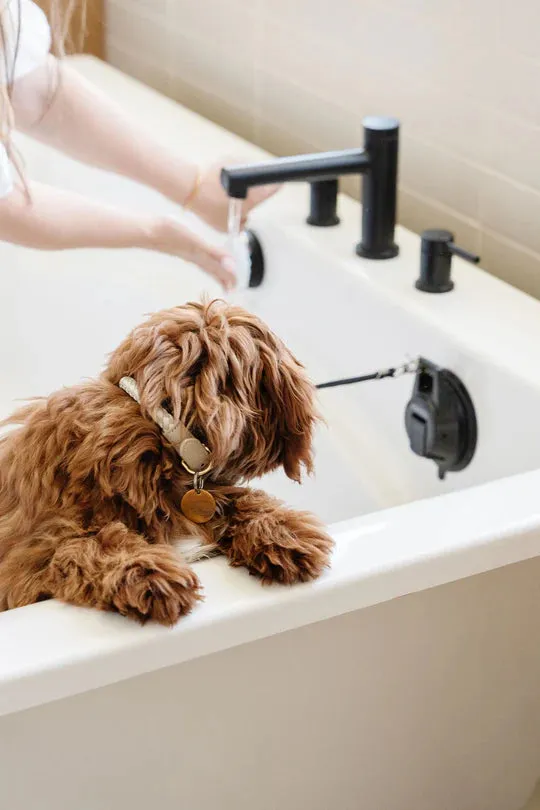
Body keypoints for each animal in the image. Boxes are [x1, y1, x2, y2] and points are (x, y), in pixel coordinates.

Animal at [0, 300, 334, 620]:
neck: (160, 428)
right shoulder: (30, 556)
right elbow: (92, 542)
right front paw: (148, 573)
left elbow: (236, 500)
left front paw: (282, 532)